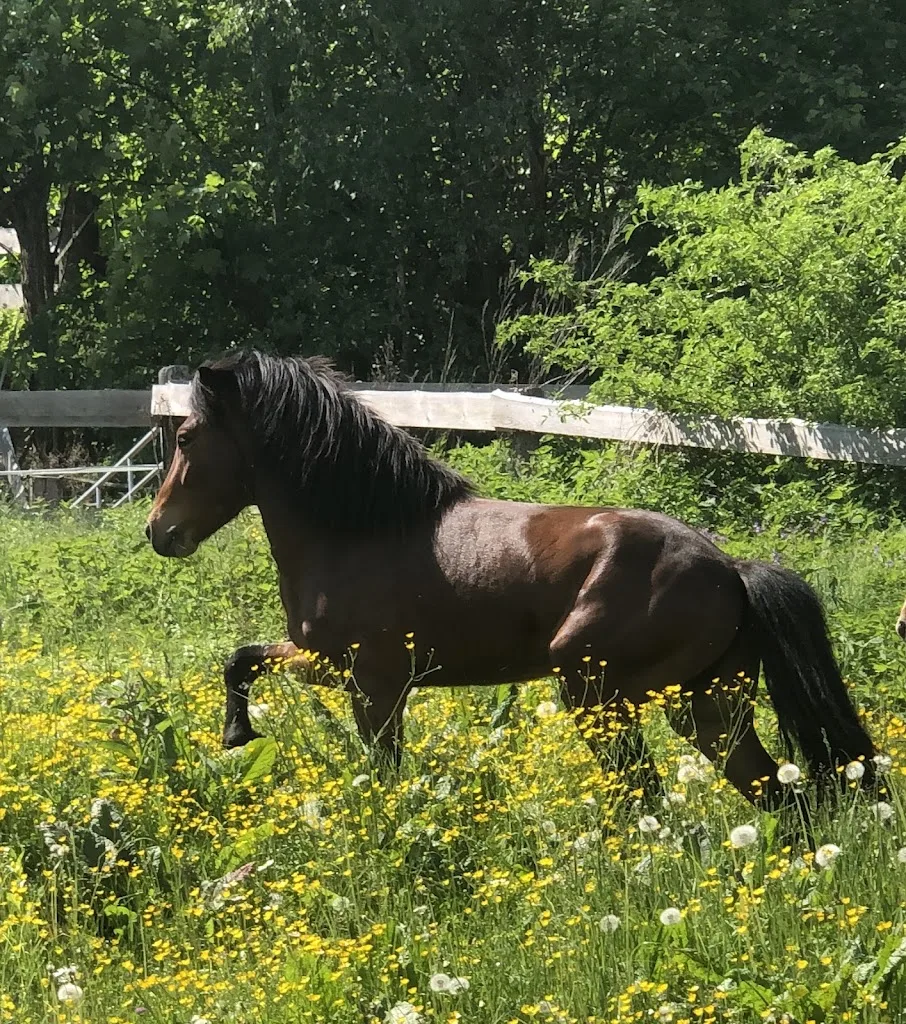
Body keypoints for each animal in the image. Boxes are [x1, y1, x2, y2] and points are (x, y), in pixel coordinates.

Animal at [145, 350, 876, 811]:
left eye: (185, 438)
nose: (159, 531)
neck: (361, 529)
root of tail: (730, 569)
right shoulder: (325, 663)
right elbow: (241, 658)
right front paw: (237, 735)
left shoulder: (376, 687)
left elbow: (385, 774)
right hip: (705, 706)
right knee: (778, 796)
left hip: (597, 695)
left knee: (648, 797)